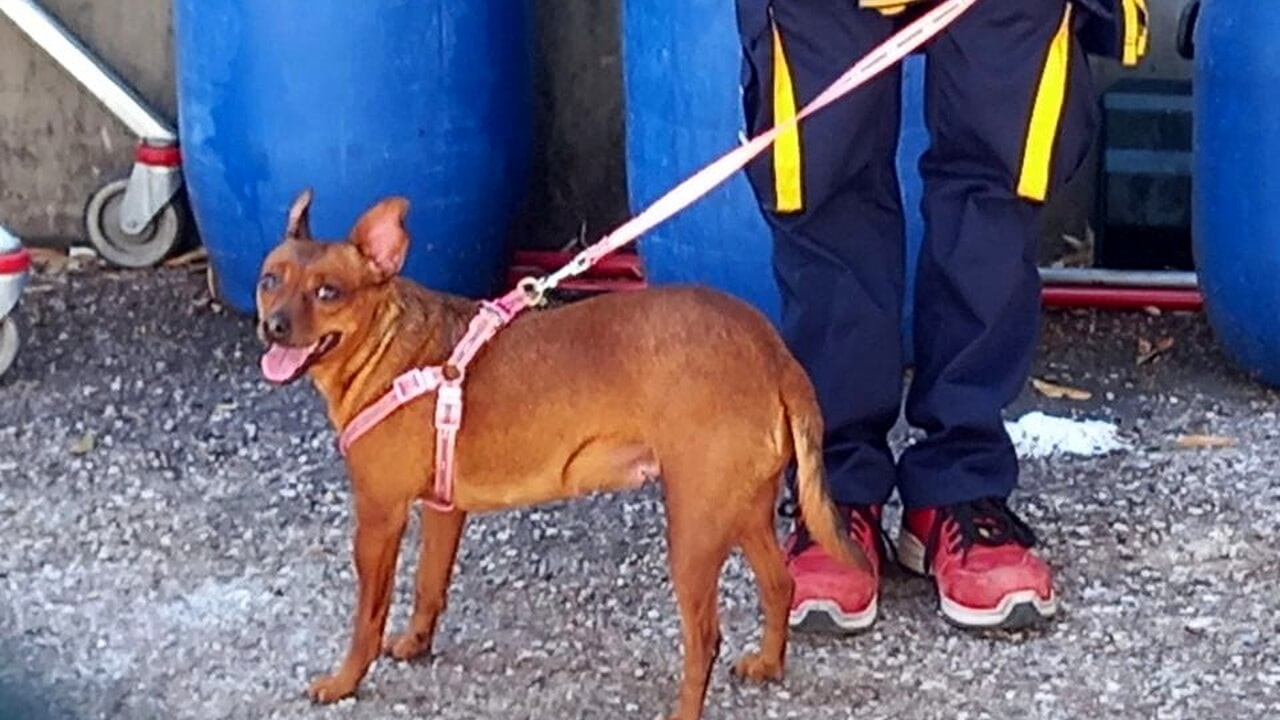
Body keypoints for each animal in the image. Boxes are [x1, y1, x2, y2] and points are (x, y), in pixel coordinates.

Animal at [252, 188, 870, 712]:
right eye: (268, 280)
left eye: (328, 292)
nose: (272, 326)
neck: (388, 350)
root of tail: (773, 351)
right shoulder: (443, 511)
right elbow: (429, 586)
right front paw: (416, 643)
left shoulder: (379, 520)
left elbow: (367, 618)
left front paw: (344, 681)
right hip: (742, 511)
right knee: (779, 584)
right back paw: (768, 663)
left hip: (694, 531)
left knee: (705, 639)